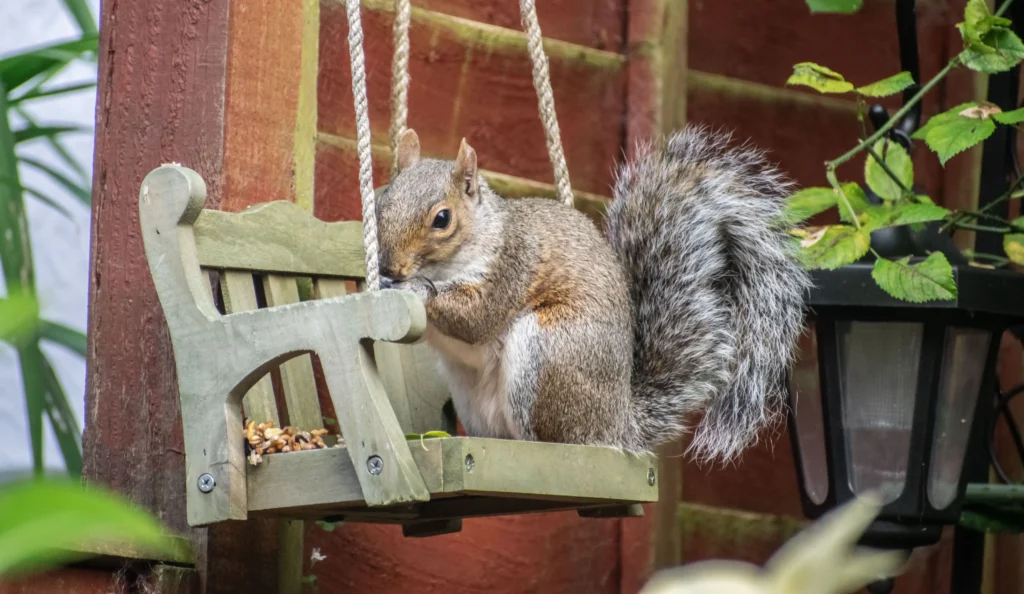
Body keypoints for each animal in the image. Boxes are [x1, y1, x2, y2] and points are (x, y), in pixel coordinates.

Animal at [375, 125, 811, 461]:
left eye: (442, 219)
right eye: (381, 200)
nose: (389, 267)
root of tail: (617, 425)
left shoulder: (510, 267)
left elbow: (476, 318)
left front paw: (415, 287)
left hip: (551, 351)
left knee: (558, 440)